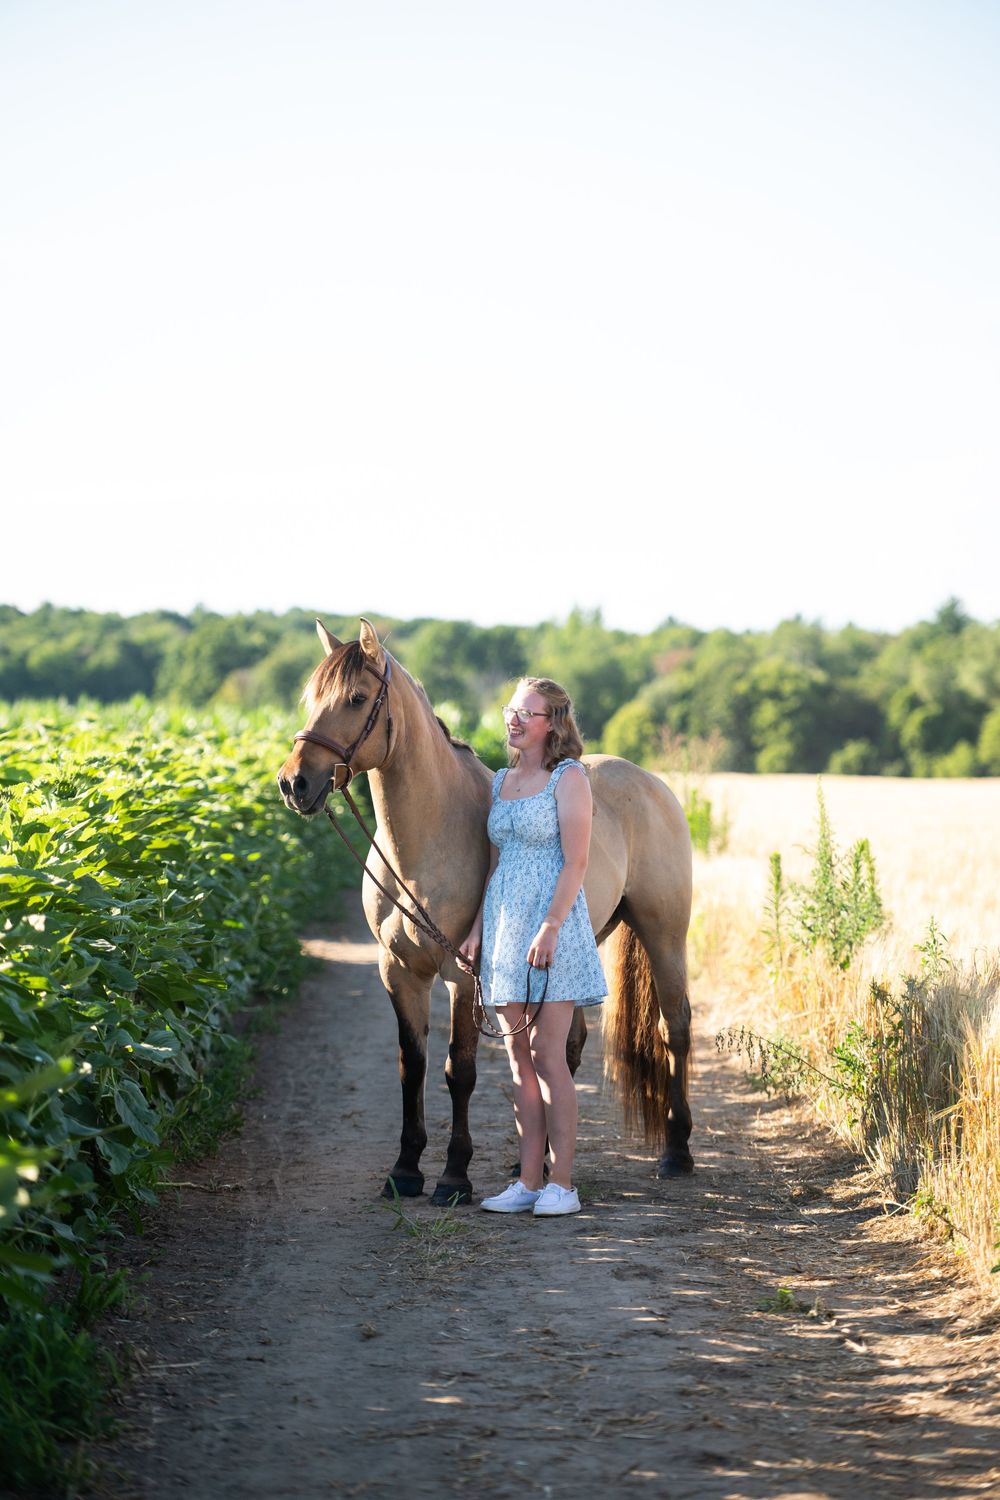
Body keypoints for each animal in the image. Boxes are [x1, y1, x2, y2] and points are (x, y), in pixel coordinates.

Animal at [277, 618, 694, 1205]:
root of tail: (652, 783)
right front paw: (405, 1170)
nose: (295, 783)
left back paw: (677, 1153)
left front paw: (454, 1176)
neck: (426, 841)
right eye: (310, 698)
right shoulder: (398, 970)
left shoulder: (460, 975)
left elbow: (460, 1070)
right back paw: (541, 1161)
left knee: (674, 1028)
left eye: (356, 698)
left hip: (665, 936)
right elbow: (412, 1065)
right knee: (565, 1049)